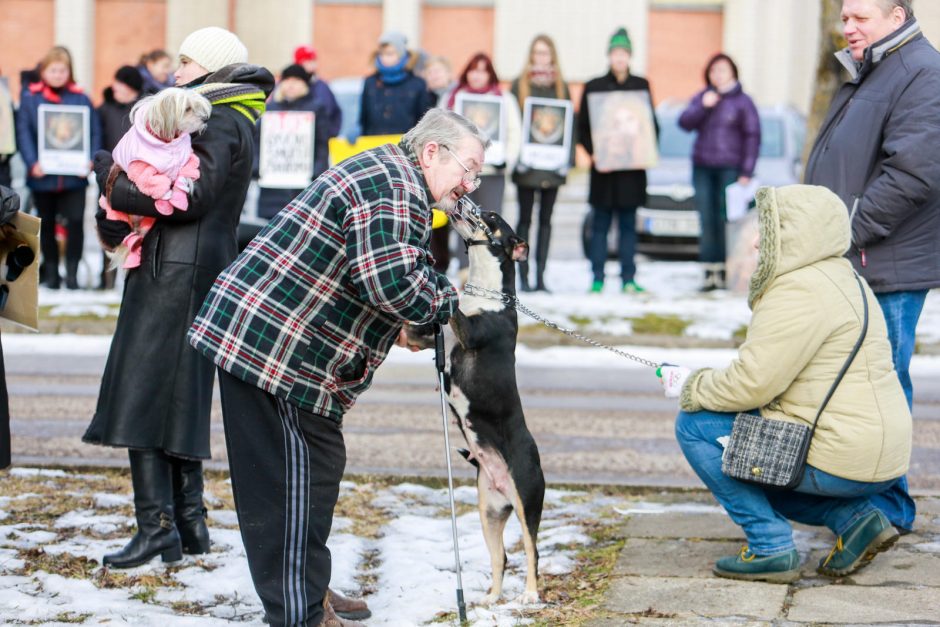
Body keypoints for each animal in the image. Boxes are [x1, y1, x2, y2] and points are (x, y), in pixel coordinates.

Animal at [406, 212, 544, 608]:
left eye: (493, 219)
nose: (471, 207)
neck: (486, 293)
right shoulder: (428, 338)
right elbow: (414, 330)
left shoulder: (469, 333)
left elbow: (454, 310)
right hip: (489, 513)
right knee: (502, 557)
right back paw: (492, 598)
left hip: (528, 501)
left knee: (532, 552)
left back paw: (529, 595)